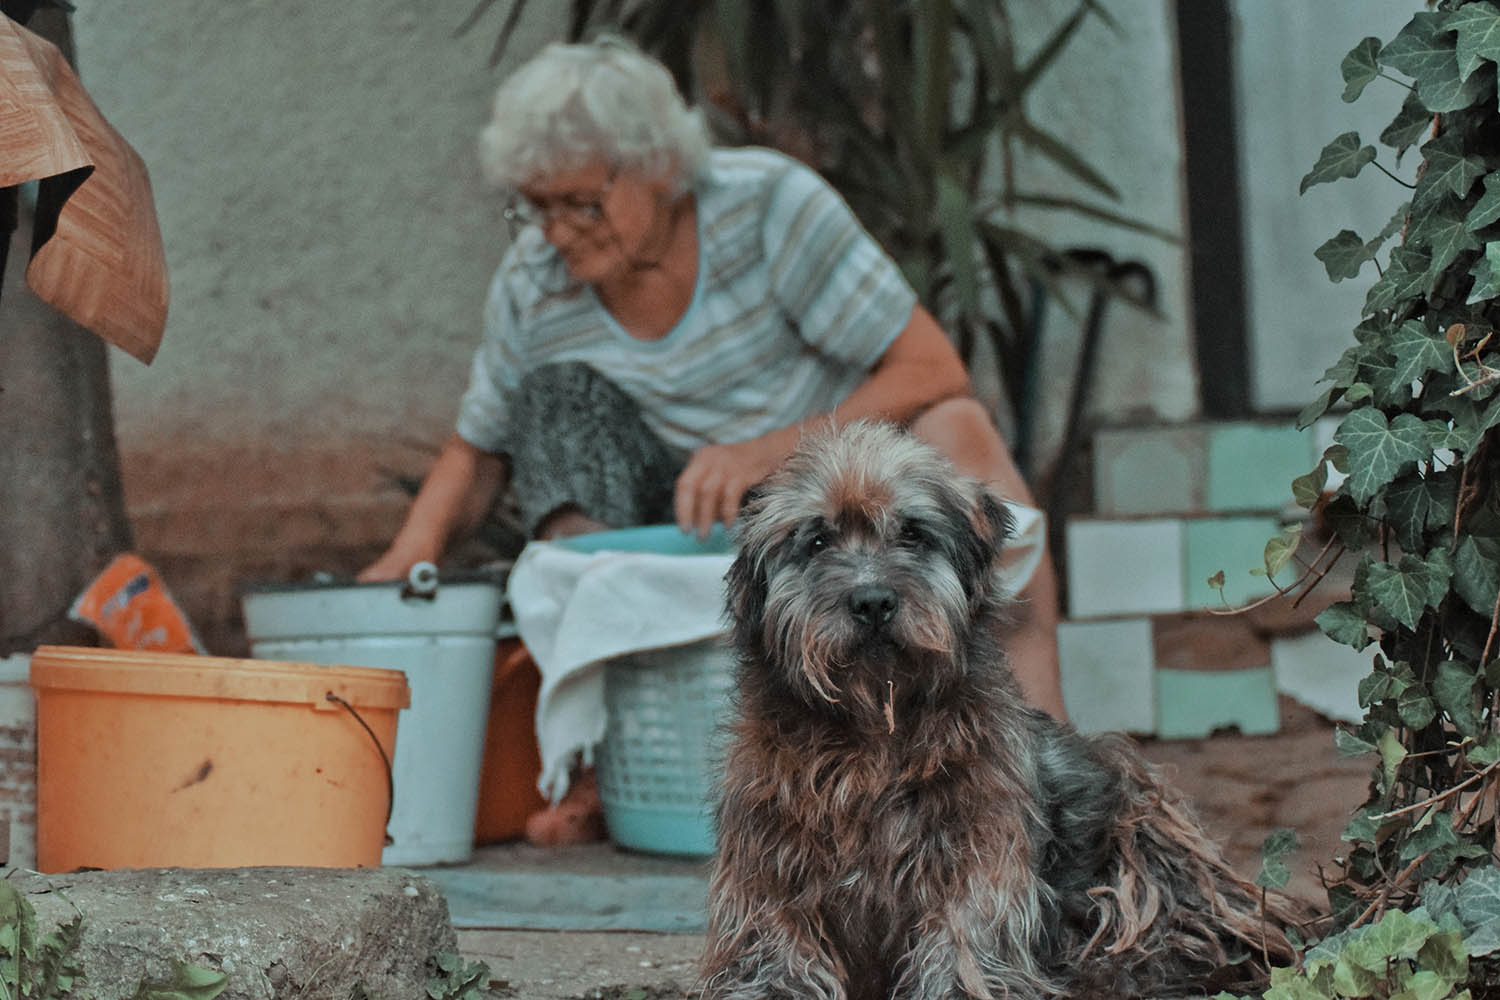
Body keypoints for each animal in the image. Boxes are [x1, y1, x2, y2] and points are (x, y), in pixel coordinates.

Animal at [696, 422, 1296, 1000]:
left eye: (912, 533)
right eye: (817, 540)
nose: (872, 602)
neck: (875, 725)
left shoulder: (978, 847)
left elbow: (965, 929)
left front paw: (960, 988)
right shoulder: (769, 851)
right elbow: (776, 934)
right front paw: (772, 988)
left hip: (1139, 824)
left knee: (1186, 933)